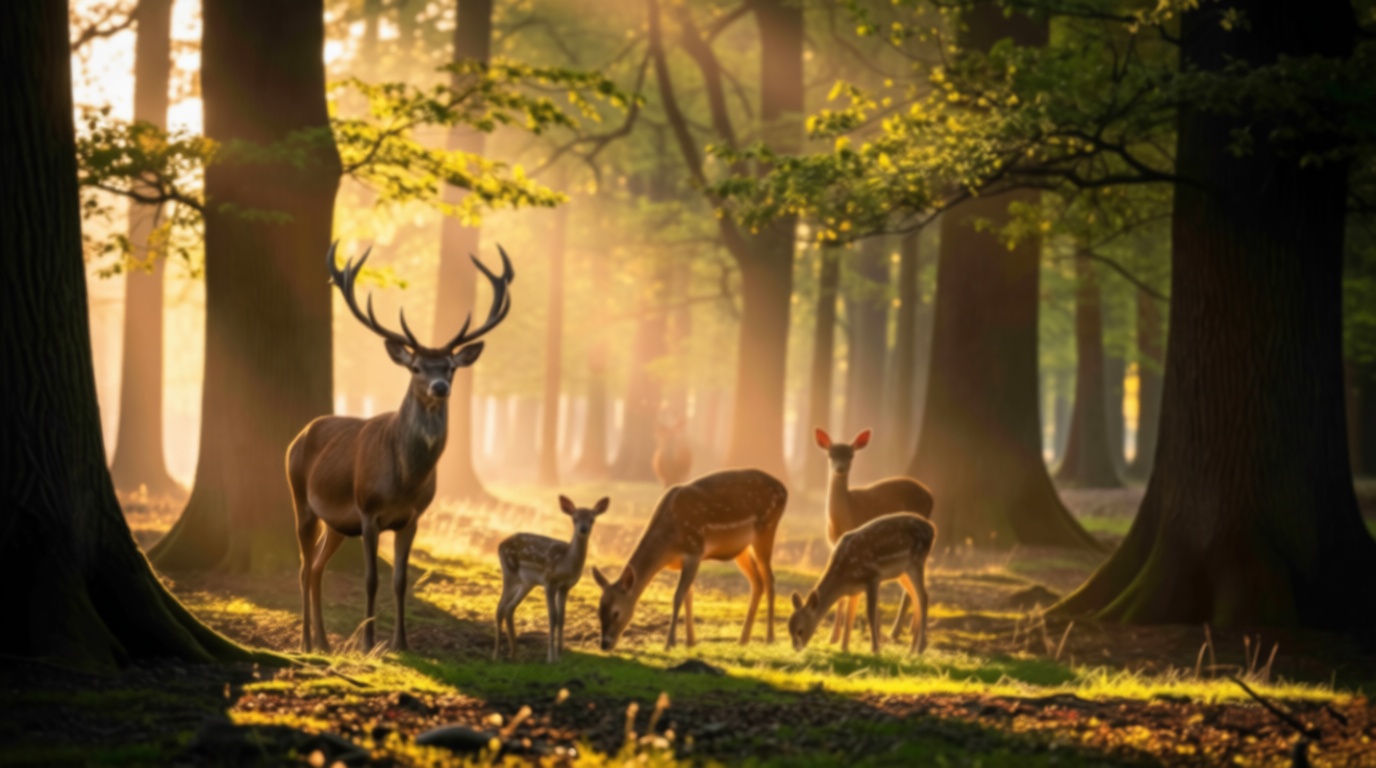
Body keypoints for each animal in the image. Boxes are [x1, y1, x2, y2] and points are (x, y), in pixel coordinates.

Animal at [288, 242, 514, 654]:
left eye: (450, 367)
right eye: (416, 367)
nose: (440, 387)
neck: (405, 481)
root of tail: (299, 435)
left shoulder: (412, 517)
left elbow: (400, 580)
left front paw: (401, 643)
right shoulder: (367, 511)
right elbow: (371, 579)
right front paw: (368, 642)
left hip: (336, 523)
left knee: (316, 569)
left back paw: (325, 643)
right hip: (300, 498)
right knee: (302, 566)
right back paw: (306, 643)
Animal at [494, 495, 609, 662]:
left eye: (592, 519)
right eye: (574, 519)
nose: (583, 529)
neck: (566, 563)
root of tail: (500, 544)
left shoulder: (565, 586)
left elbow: (561, 617)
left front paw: (560, 653)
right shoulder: (549, 582)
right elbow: (552, 618)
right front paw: (551, 658)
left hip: (527, 582)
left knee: (509, 608)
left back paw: (514, 653)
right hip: (509, 572)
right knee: (500, 608)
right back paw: (496, 655)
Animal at [592, 469, 787, 651]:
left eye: (616, 613)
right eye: (599, 611)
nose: (604, 644)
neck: (668, 546)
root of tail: (784, 490)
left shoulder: (694, 551)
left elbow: (678, 596)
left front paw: (670, 643)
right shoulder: (684, 561)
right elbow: (689, 596)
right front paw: (690, 642)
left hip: (766, 529)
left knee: (769, 579)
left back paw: (769, 638)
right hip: (741, 549)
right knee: (757, 582)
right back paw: (743, 639)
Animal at [789, 512, 935, 655]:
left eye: (800, 630)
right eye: (789, 628)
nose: (796, 648)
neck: (844, 576)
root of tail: (932, 530)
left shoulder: (872, 577)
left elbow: (870, 613)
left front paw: (875, 649)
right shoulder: (854, 590)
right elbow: (849, 616)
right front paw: (844, 647)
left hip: (916, 562)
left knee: (923, 596)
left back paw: (919, 648)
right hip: (902, 572)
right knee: (915, 597)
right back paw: (912, 649)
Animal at [815, 428, 934, 651]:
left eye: (851, 454)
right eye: (831, 454)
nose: (840, 468)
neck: (844, 519)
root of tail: (931, 495)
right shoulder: (835, 546)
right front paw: (833, 637)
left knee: (914, 589)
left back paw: (897, 633)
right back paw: (909, 633)